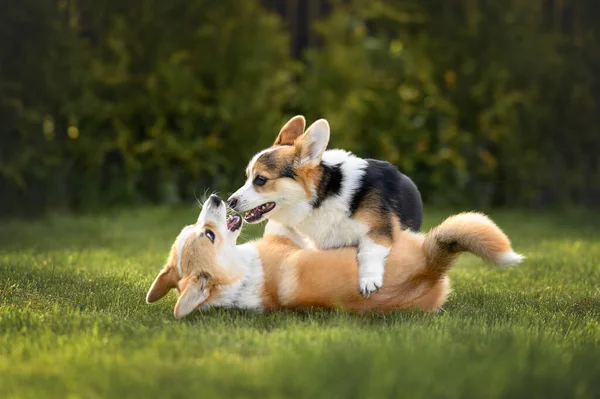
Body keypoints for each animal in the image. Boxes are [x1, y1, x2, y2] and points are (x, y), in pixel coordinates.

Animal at [227, 115, 424, 296]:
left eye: (260, 179)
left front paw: (369, 280)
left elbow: (368, 252)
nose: (230, 201)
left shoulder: (379, 229)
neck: (322, 196)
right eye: (247, 177)